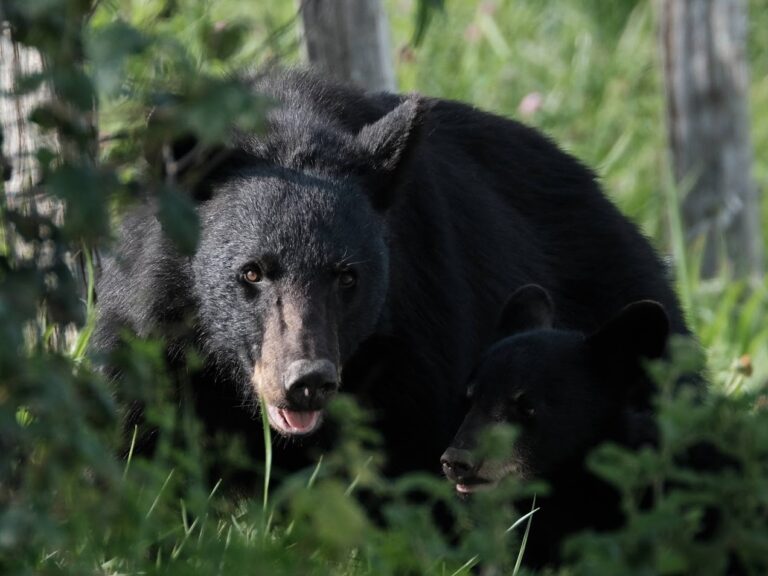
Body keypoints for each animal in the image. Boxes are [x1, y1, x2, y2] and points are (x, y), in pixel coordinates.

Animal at [92, 69, 690, 484]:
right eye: (252, 272)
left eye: (347, 277)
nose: (307, 382)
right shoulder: (149, 333)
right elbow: (138, 443)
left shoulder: (420, 340)